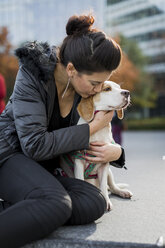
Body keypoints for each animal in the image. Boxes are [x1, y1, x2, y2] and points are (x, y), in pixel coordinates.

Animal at [60, 81, 133, 209]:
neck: (100, 130)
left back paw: (122, 192)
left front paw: (106, 202)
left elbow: (103, 185)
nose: (127, 92)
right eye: (107, 88)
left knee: (112, 187)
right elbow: (81, 182)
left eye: (119, 88)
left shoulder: (105, 164)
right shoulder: (79, 163)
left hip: (109, 173)